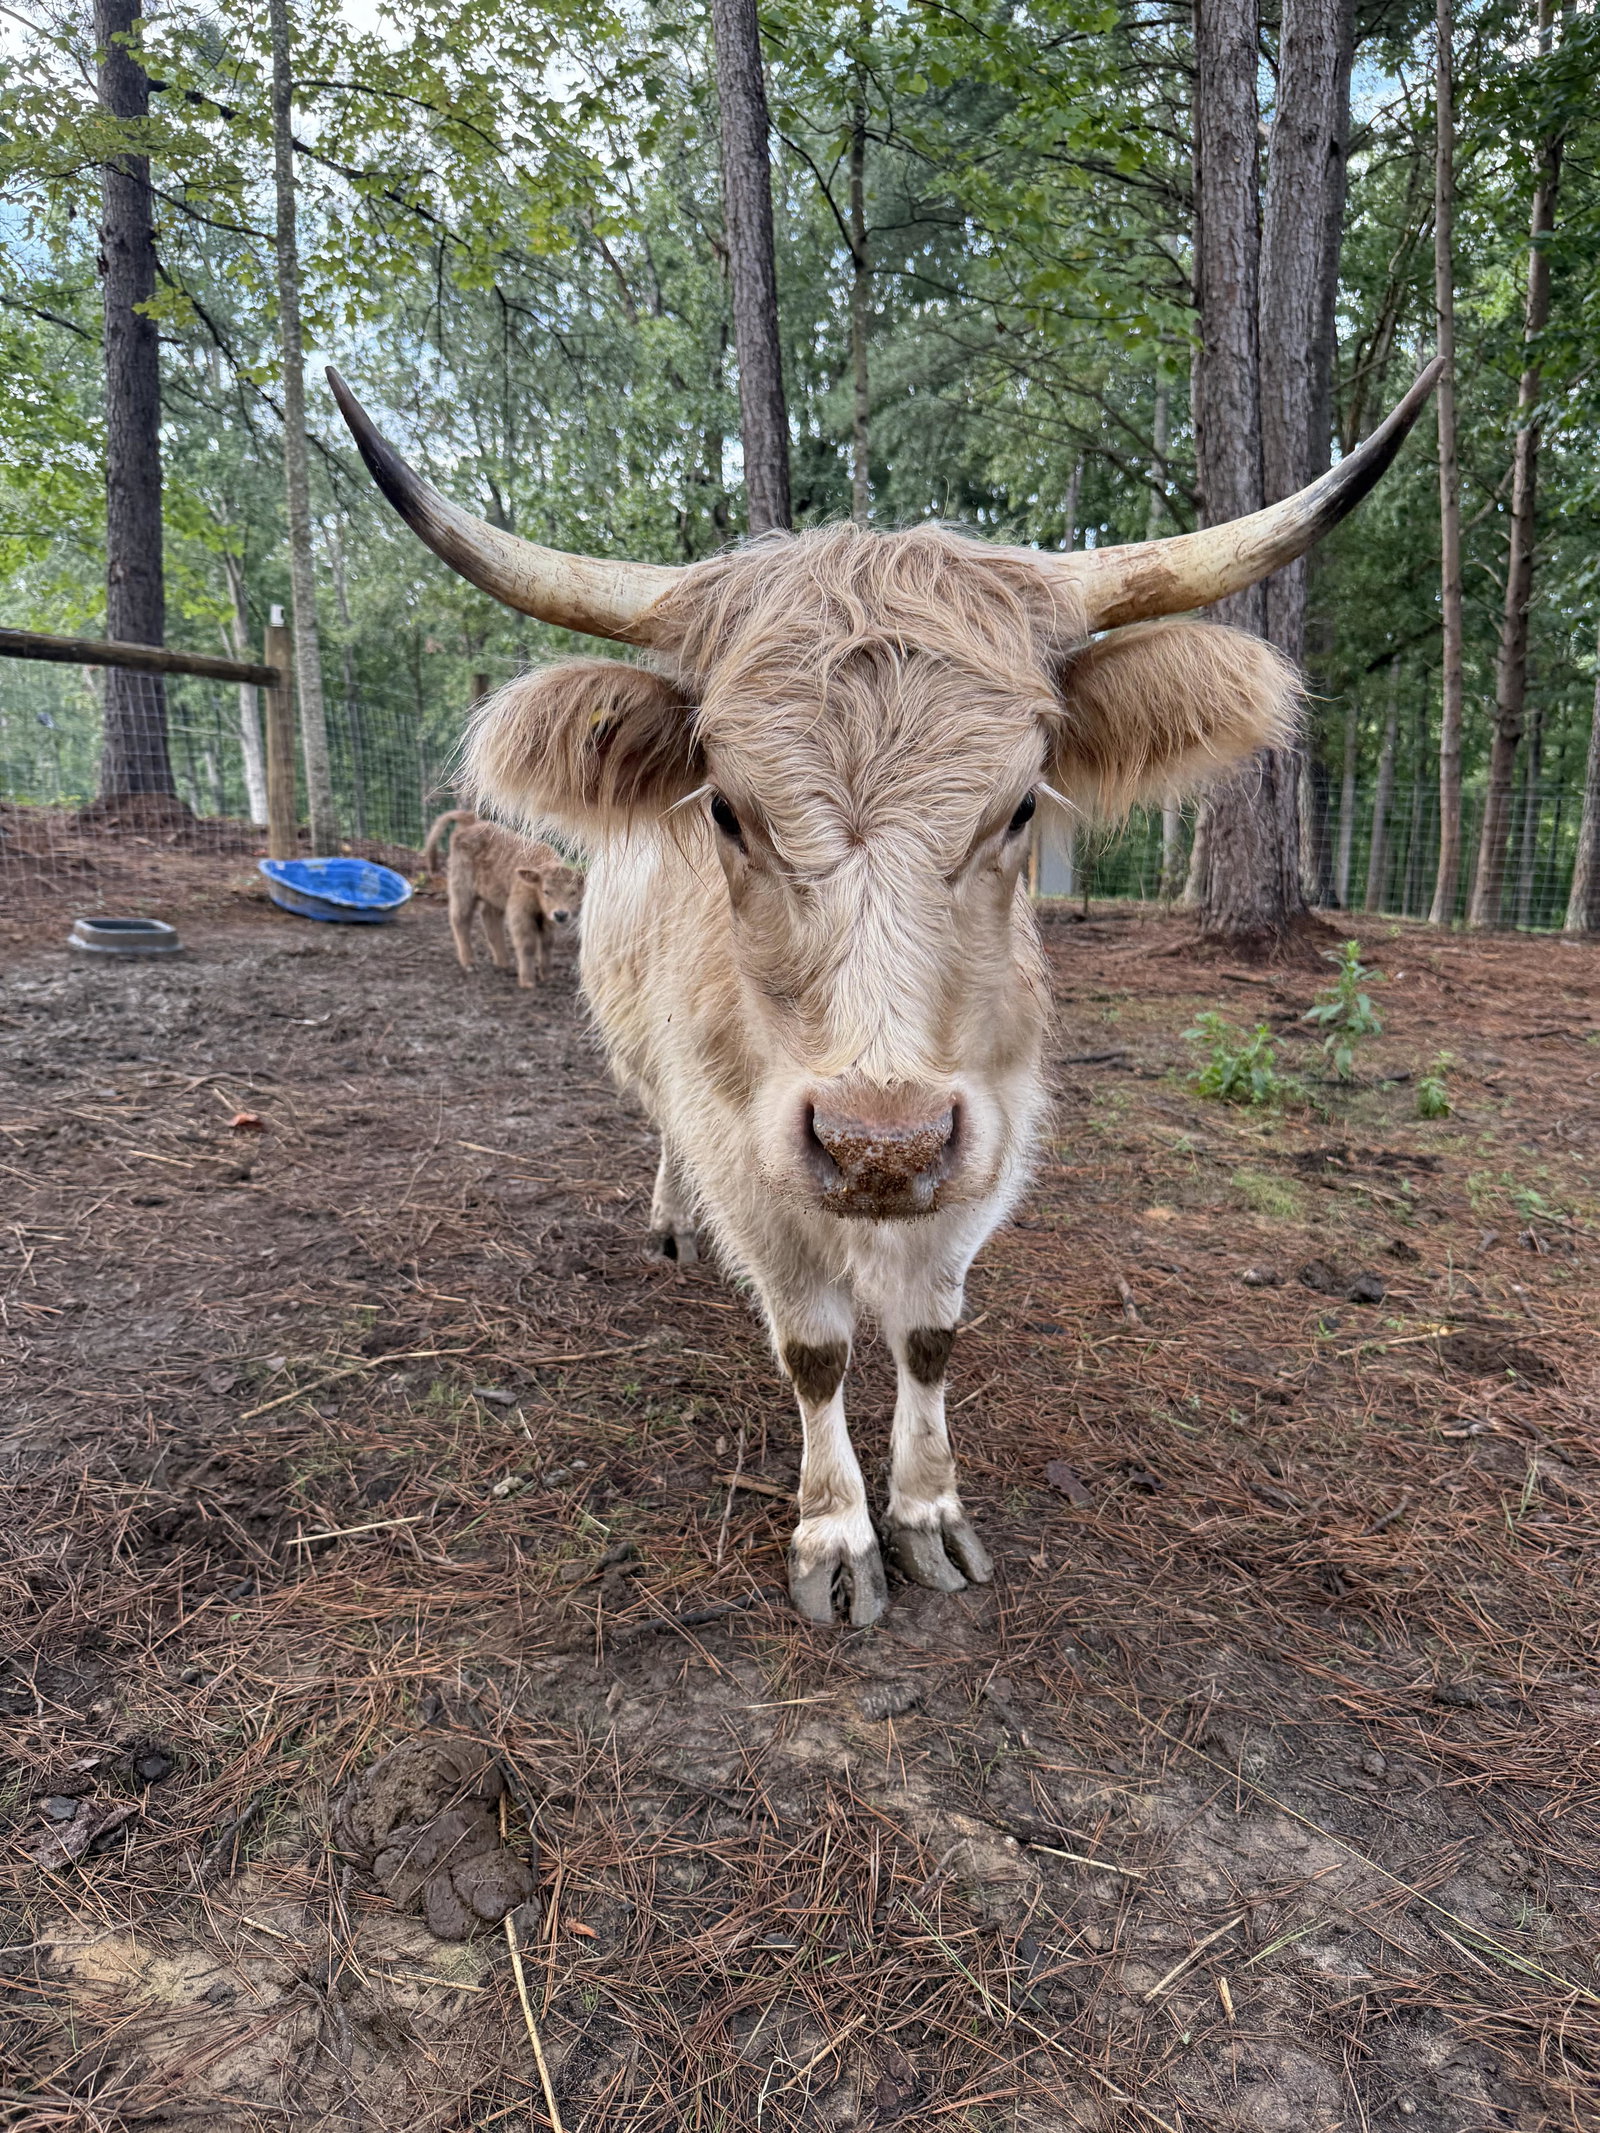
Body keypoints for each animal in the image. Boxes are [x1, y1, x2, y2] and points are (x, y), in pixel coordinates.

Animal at [421, 808, 577, 989]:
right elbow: (527, 945)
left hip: (493, 893)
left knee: (491, 919)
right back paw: (470, 963)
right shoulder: (520, 914)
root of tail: (471, 821)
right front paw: (528, 982)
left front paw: (548, 976)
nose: (561, 914)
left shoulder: (547, 920)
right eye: (546, 891)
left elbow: (547, 943)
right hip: (462, 888)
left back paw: (503, 962)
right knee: (461, 919)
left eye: (573, 892)